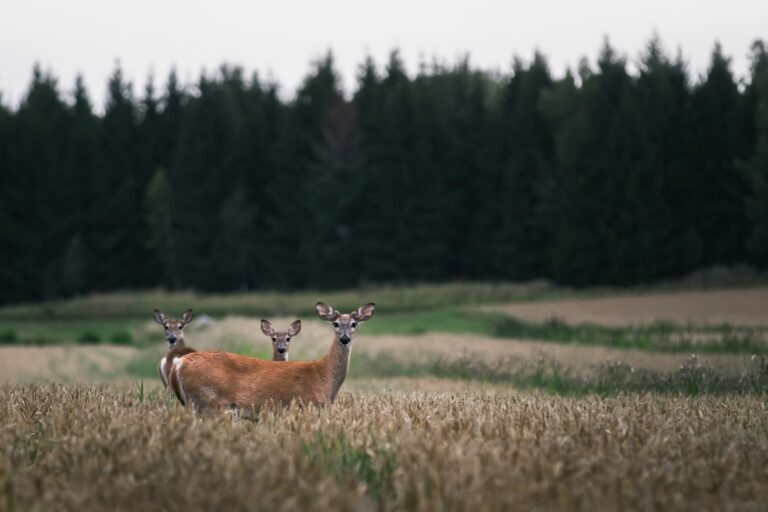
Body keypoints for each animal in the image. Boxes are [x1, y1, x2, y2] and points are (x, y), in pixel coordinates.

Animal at [167, 302, 375, 415]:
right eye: (336, 323)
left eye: (354, 324)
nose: (345, 338)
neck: (324, 376)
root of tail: (178, 364)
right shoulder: (307, 405)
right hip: (210, 402)